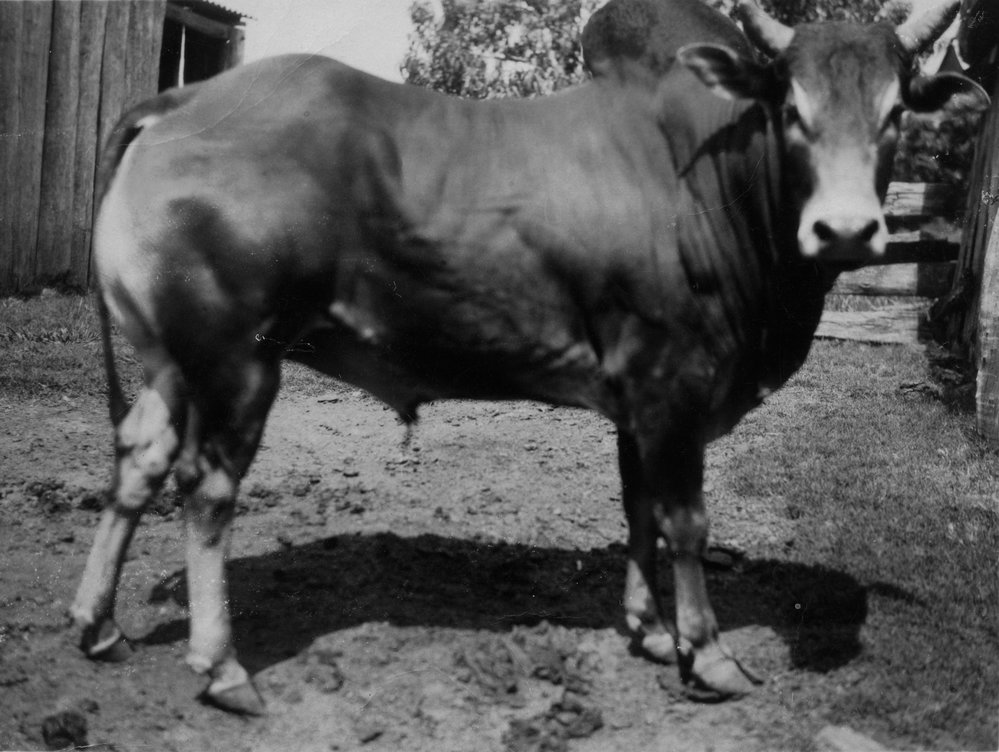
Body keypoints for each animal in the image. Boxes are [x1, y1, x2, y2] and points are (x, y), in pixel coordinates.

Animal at [70, 0, 984, 715]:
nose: (845, 230)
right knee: (206, 489)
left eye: (895, 111)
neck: (710, 185)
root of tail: (180, 99)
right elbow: (686, 520)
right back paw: (222, 667)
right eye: (791, 107)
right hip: (237, 361)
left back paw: (98, 624)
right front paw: (708, 653)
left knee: (138, 460)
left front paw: (649, 631)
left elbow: (639, 511)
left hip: (171, 363)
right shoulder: (672, 386)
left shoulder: (634, 398)